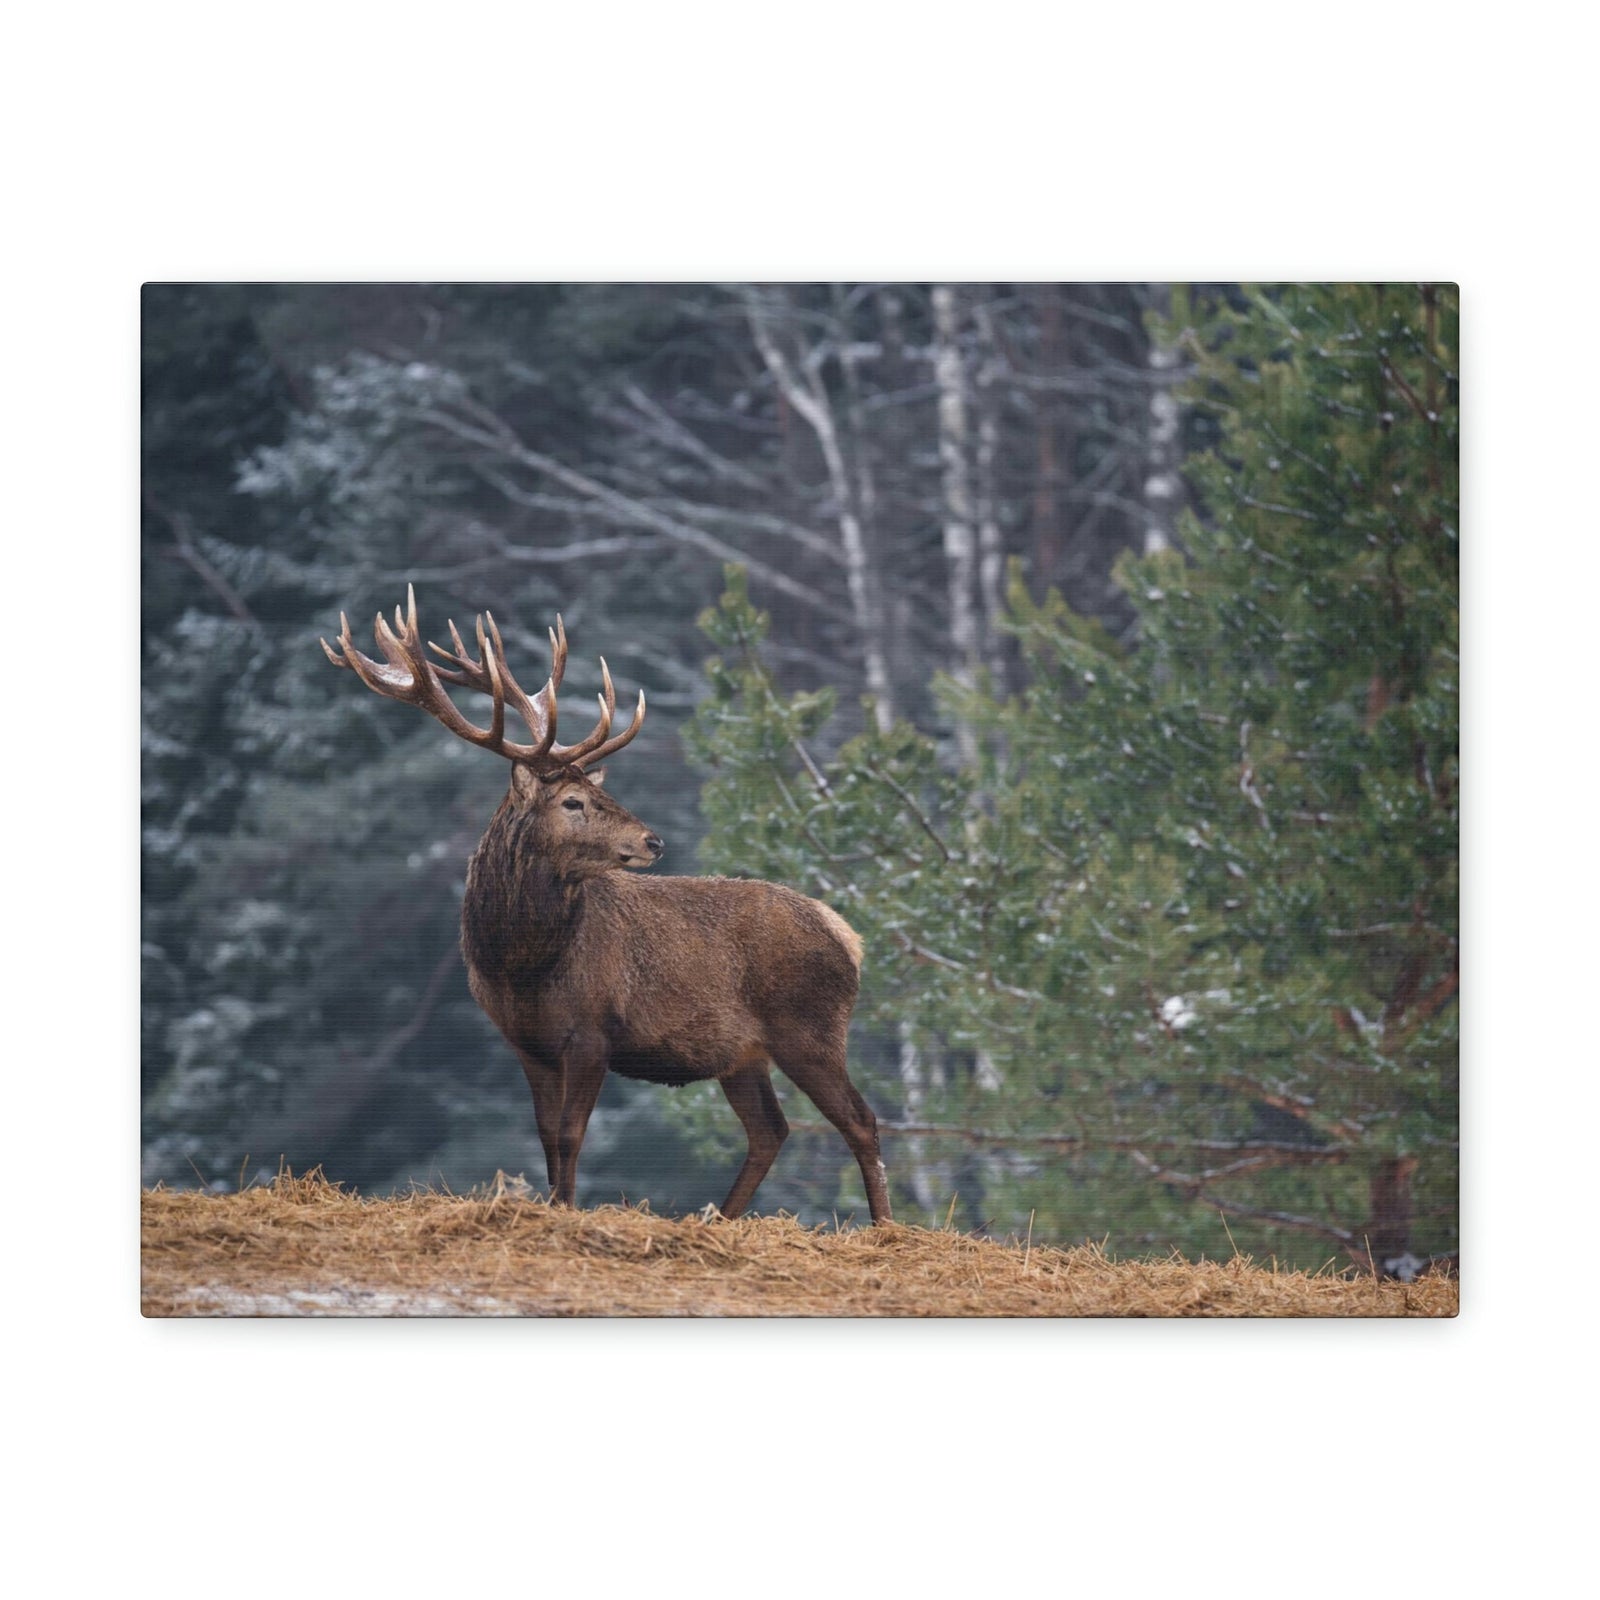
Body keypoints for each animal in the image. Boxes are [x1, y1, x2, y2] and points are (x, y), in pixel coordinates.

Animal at [322, 587, 892, 1224]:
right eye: (573, 801)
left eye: (597, 792)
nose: (654, 840)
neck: (521, 965)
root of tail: (847, 934)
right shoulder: (527, 1043)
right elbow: (547, 1137)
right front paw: (552, 1207)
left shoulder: (594, 1031)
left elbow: (572, 1136)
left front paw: (567, 1211)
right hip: (743, 1054)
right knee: (770, 1129)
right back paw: (718, 1218)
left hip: (809, 1028)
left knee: (861, 1120)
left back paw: (884, 1228)